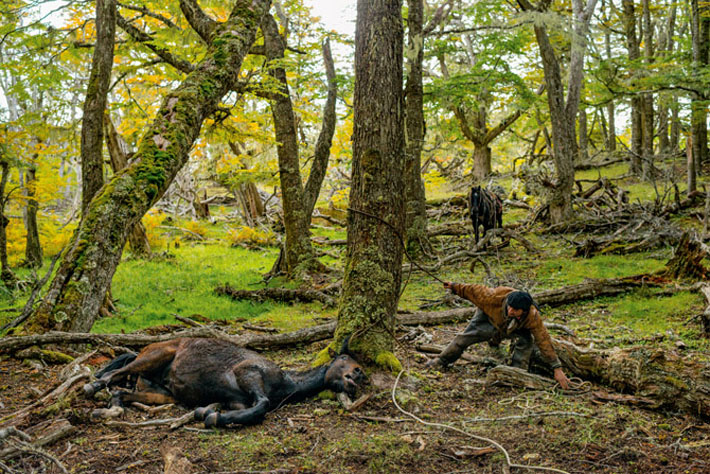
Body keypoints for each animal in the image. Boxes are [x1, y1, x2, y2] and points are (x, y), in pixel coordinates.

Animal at [82, 336, 368, 430]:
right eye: (344, 357)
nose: (358, 375)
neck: (285, 383)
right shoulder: (248, 374)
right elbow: (262, 406)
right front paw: (212, 417)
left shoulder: (237, 401)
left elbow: (244, 410)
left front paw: (208, 413)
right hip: (154, 356)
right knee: (111, 375)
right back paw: (90, 388)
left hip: (163, 393)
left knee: (122, 392)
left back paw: (111, 408)